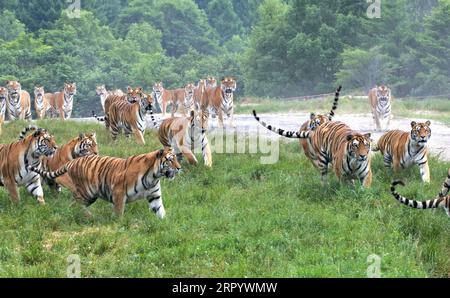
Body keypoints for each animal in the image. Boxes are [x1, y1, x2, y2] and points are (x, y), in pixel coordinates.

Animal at [29, 148, 181, 218]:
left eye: (176, 159)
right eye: (170, 160)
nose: (179, 168)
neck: (154, 176)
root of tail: (72, 161)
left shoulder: (154, 195)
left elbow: (160, 210)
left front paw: (165, 224)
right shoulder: (119, 192)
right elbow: (119, 212)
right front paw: (119, 224)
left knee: (74, 204)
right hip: (86, 193)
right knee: (74, 203)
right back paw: (85, 216)